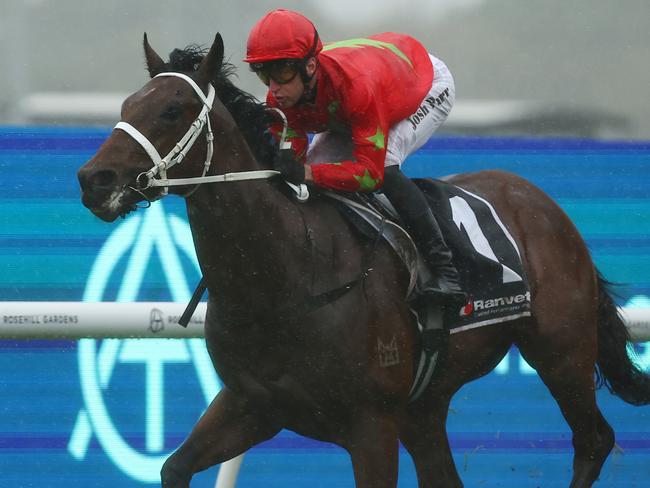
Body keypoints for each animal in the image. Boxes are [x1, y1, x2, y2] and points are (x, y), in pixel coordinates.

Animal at [77, 32, 648, 486]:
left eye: (171, 110)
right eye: (126, 106)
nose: (93, 179)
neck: (285, 276)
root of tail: (540, 201)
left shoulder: (371, 426)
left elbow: (374, 165)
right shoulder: (251, 404)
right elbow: (174, 467)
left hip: (560, 349)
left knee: (594, 440)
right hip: (425, 408)